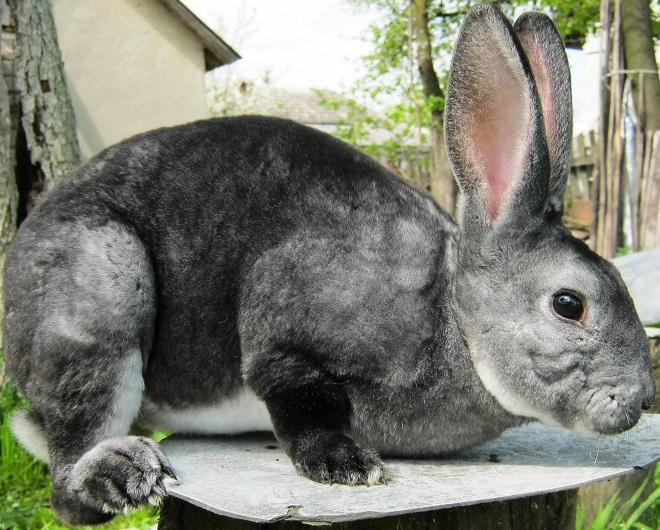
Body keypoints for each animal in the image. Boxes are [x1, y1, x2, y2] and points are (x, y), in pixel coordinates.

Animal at [4, 4, 655, 525]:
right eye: (569, 304)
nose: (641, 399)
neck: (452, 320)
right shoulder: (284, 327)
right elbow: (299, 394)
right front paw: (347, 466)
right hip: (102, 289)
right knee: (70, 479)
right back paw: (123, 472)